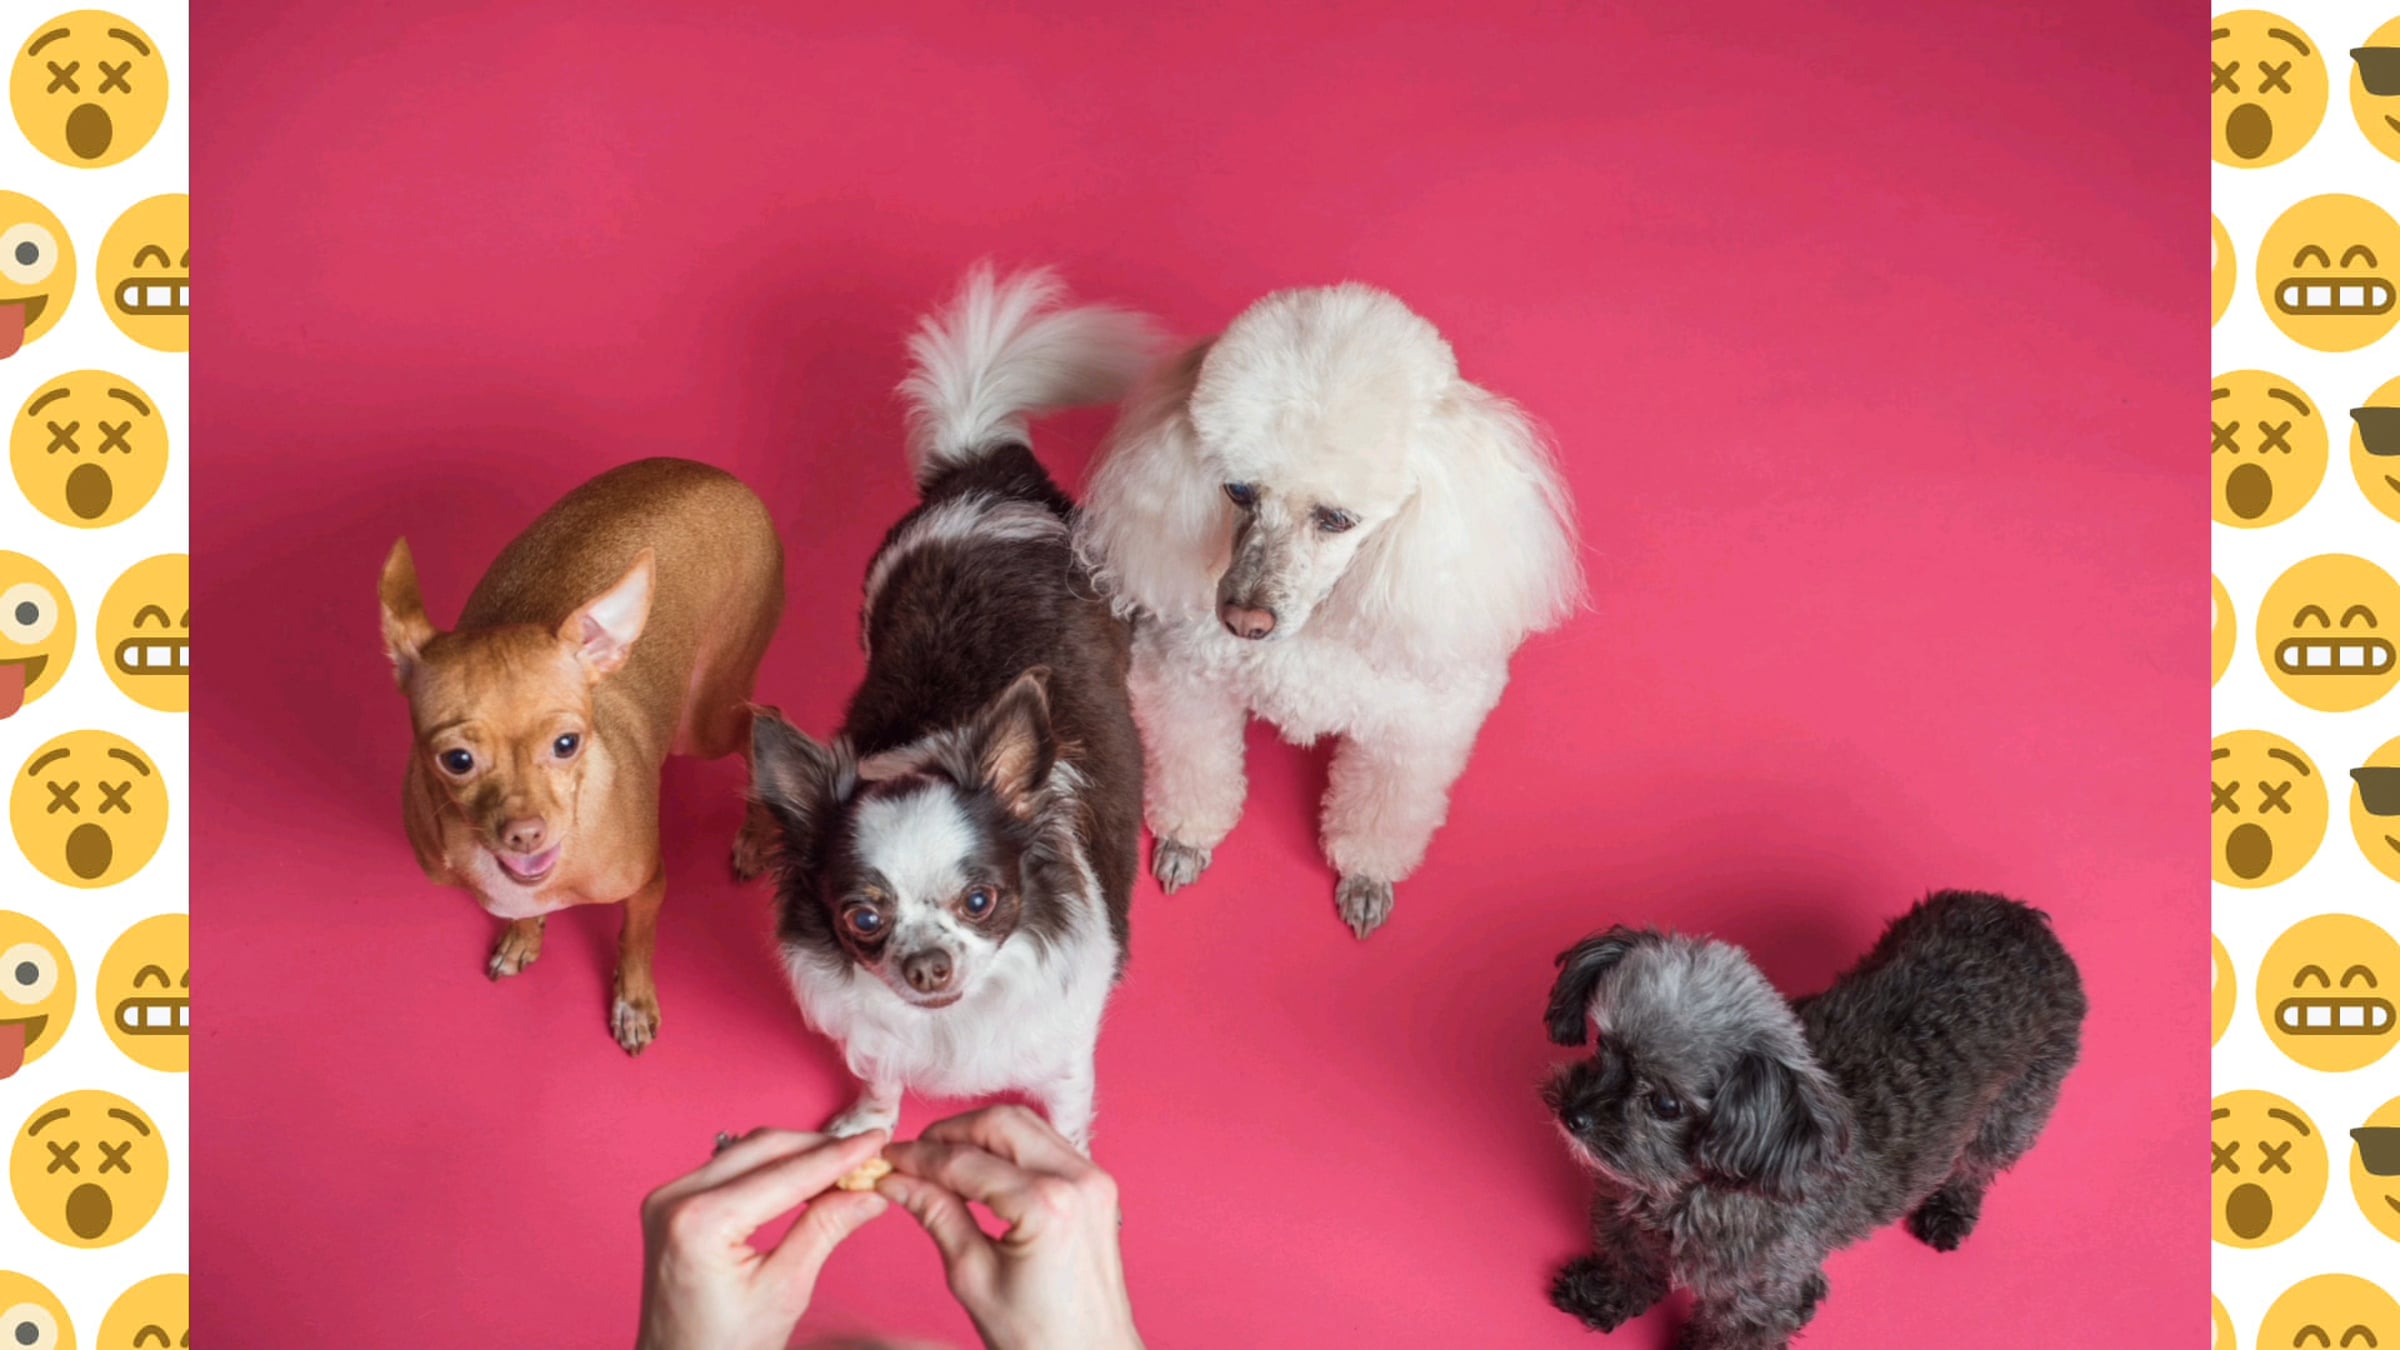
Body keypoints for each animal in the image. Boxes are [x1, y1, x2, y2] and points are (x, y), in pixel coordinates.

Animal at [378, 458, 785, 1054]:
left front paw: (632, 1004)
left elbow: (634, 942)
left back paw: (756, 834)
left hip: (704, 722)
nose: (525, 832)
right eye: (457, 761)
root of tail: (720, 477)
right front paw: (524, 936)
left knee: (763, 723)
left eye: (567, 744)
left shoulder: (649, 887)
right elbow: (525, 912)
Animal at [750, 266, 1150, 1151]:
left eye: (980, 902)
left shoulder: (1063, 1062)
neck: (952, 1021)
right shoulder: (877, 1037)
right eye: (864, 917)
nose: (926, 963)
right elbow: (879, 1080)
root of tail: (985, 477)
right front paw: (864, 1129)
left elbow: (1064, 1126)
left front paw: (1065, 1164)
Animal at [1074, 284, 1581, 938]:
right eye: (1237, 490)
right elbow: (1196, 764)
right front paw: (1188, 838)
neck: (1312, 626)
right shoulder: (1184, 679)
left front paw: (1366, 875)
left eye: (1337, 519)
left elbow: (1384, 808)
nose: (1243, 621)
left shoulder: (1418, 725)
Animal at [1541, 890, 2085, 1349]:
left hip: (2016, 1110)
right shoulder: (1626, 1220)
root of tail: (2023, 920)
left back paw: (1950, 1208)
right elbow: (1629, 1261)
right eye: (1603, 1046)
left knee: (1976, 1166)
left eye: (1665, 1105)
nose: (1573, 1116)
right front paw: (1605, 1294)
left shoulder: (1763, 1299)